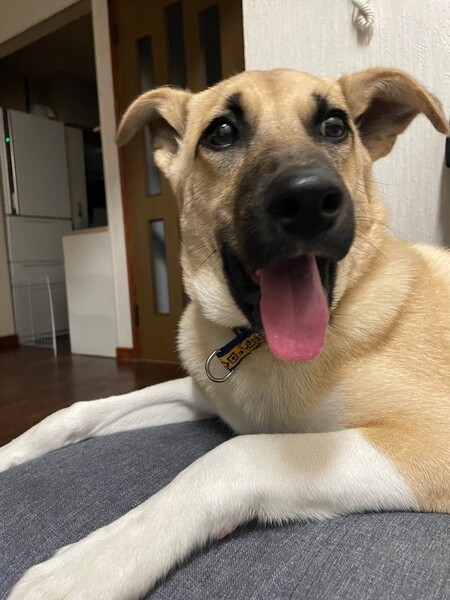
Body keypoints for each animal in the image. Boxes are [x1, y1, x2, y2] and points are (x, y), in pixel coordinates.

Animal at [3, 67, 449, 599]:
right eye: (221, 133)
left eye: (335, 126)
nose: (307, 200)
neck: (258, 346)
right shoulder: (202, 392)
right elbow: (74, 411)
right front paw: (9, 453)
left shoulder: (426, 440)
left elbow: (237, 453)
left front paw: (91, 564)